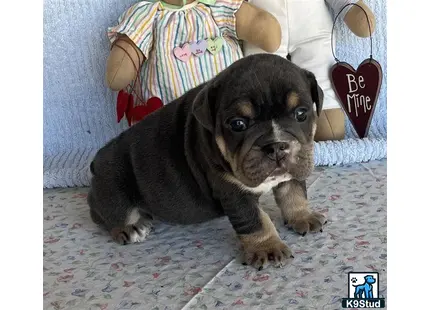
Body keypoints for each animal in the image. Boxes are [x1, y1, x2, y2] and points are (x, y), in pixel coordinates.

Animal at [89, 52, 328, 268]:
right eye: (238, 124)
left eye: (301, 114)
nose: (276, 146)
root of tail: (96, 161)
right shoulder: (233, 193)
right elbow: (255, 221)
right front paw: (268, 248)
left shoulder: (294, 170)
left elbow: (294, 194)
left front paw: (303, 216)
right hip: (112, 185)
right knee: (108, 212)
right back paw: (131, 227)